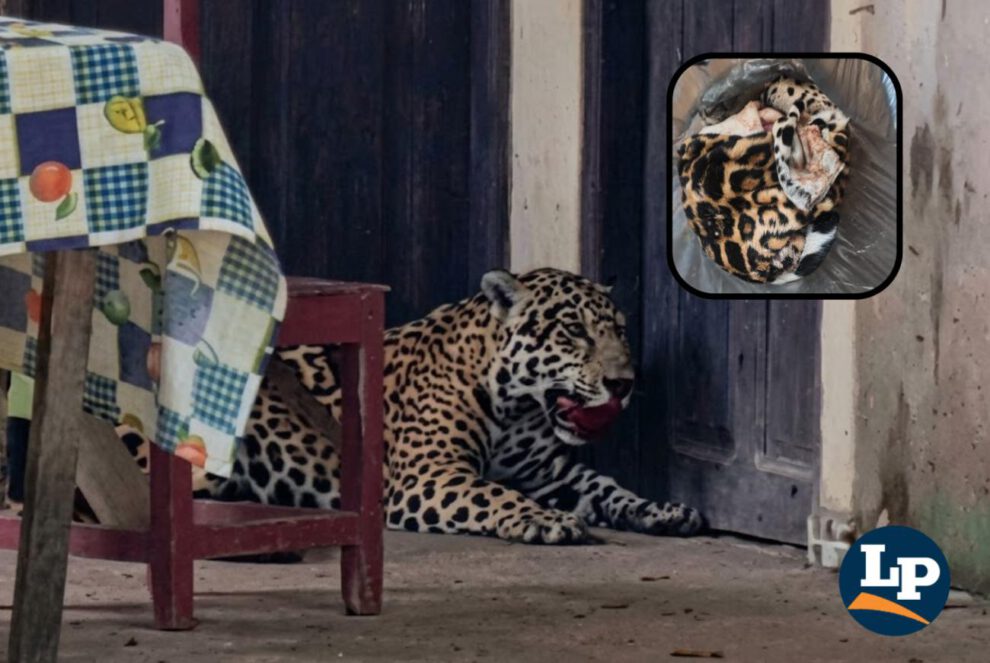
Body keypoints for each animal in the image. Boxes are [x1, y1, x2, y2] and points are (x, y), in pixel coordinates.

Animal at [126, 267, 704, 544]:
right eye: (574, 331)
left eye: (620, 331)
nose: (624, 383)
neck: (518, 410)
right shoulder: (430, 474)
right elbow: (494, 493)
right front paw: (543, 521)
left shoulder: (552, 475)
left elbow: (610, 488)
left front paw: (664, 511)